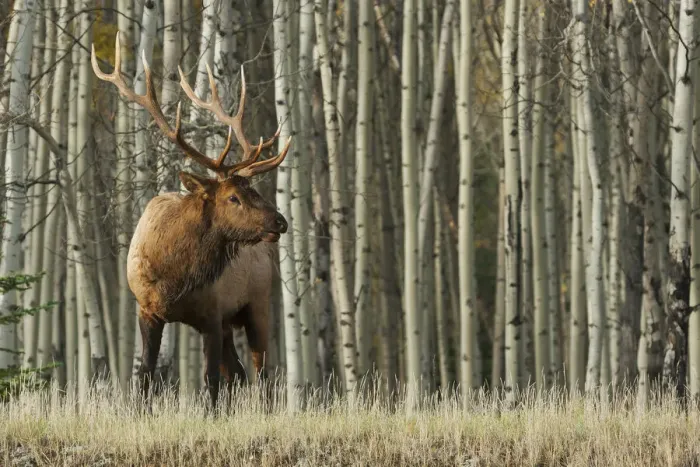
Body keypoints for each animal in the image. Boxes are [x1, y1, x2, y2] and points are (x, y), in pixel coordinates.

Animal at [91, 32, 292, 413]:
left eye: (253, 189)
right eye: (233, 197)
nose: (280, 221)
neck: (176, 277)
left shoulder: (212, 315)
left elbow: (210, 381)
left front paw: (212, 417)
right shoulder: (148, 310)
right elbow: (146, 376)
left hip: (257, 305)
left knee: (262, 373)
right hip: (232, 321)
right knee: (239, 373)